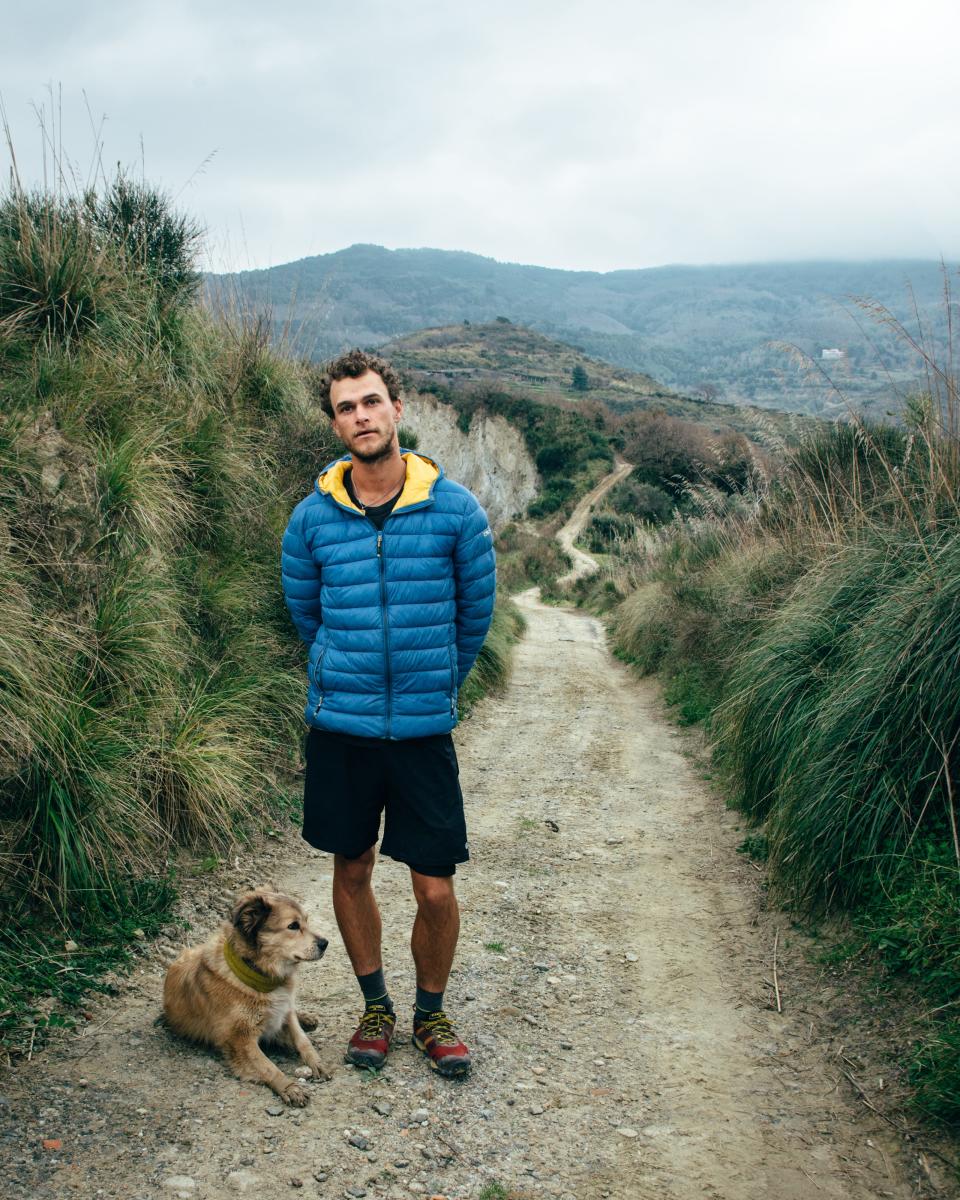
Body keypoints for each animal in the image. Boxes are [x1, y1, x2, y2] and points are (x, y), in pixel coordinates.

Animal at [163, 888, 331, 1099]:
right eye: (293, 926)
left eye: (306, 921)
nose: (325, 943)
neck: (260, 977)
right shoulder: (240, 1039)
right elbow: (267, 1066)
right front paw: (289, 1087)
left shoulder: (285, 1010)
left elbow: (302, 1040)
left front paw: (317, 1062)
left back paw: (307, 1019)